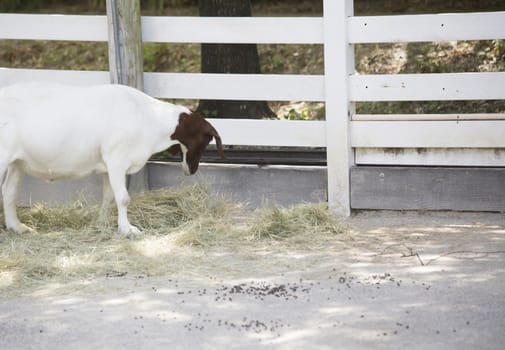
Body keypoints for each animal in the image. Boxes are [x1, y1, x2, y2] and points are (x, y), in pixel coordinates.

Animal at [0, 82, 224, 237]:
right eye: (205, 140)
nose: (191, 170)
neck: (147, 118)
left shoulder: (109, 165)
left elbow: (108, 196)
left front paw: (103, 223)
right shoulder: (116, 159)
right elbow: (123, 197)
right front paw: (128, 230)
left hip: (17, 163)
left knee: (9, 191)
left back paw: (17, 227)